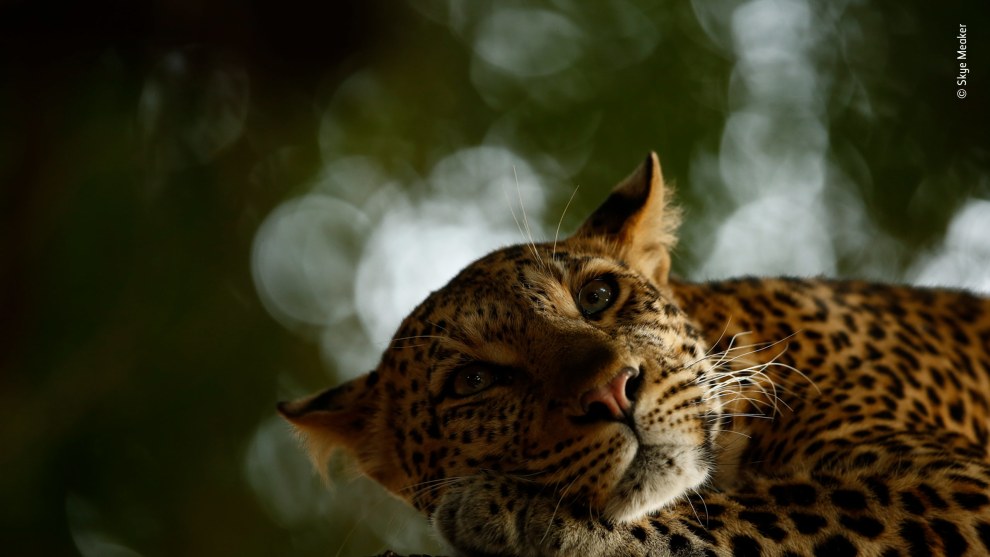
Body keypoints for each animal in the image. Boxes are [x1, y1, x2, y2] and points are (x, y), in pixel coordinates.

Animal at [278, 152, 990, 556]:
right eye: (474, 381)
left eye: (596, 296)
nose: (611, 392)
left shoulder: (959, 487)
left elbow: (764, 510)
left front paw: (515, 511)